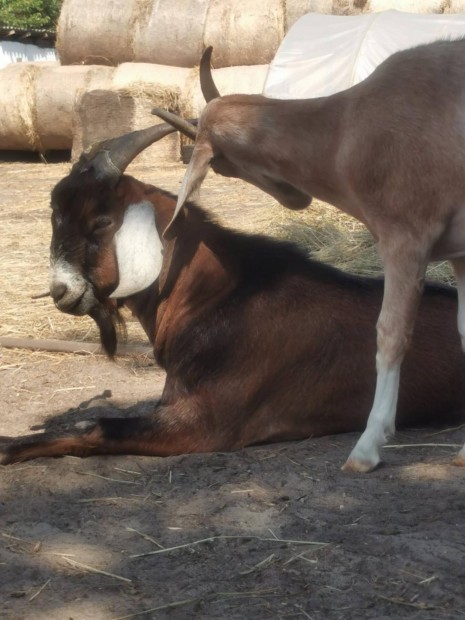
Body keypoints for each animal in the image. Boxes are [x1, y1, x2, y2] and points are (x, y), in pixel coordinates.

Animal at [2, 123, 464, 464]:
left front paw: (9, 448)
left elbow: (96, 426)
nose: (61, 290)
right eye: (55, 216)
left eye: (101, 221)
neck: (218, 296)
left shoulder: (201, 423)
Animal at [152, 41, 465, 472]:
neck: (345, 128)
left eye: (222, 164)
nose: (294, 198)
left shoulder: (405, 235)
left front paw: (366, 448)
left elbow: (390, 333)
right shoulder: (459, 253)